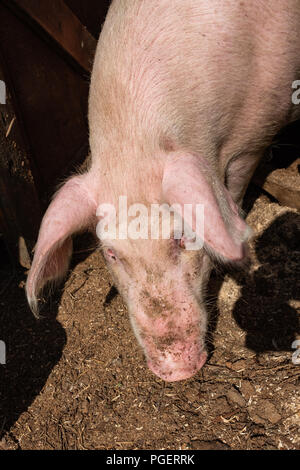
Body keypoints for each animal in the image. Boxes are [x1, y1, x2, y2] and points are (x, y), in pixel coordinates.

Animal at [25, 0, 300, 382]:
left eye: (183, 237)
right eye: (110, 253)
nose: (175, 370)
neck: (134, 144)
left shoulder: (256, 133)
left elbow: (236, 189)